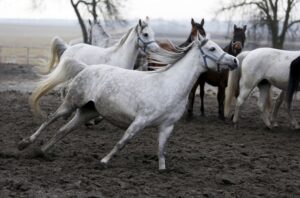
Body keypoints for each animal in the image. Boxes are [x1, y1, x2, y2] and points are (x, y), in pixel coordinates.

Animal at [18, 34, 239, 170]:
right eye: (212, 48)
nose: (235, 61)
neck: (169, 84)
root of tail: (86, 68)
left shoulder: (167, 126)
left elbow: (161, 150)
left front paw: (162, 169)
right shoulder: (140, 121)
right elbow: (122, 142)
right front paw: (103, 161)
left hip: (87, 112)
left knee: (63, 130)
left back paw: (43, 152)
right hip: (71, 103)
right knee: (50, 119)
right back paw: (25, 143)